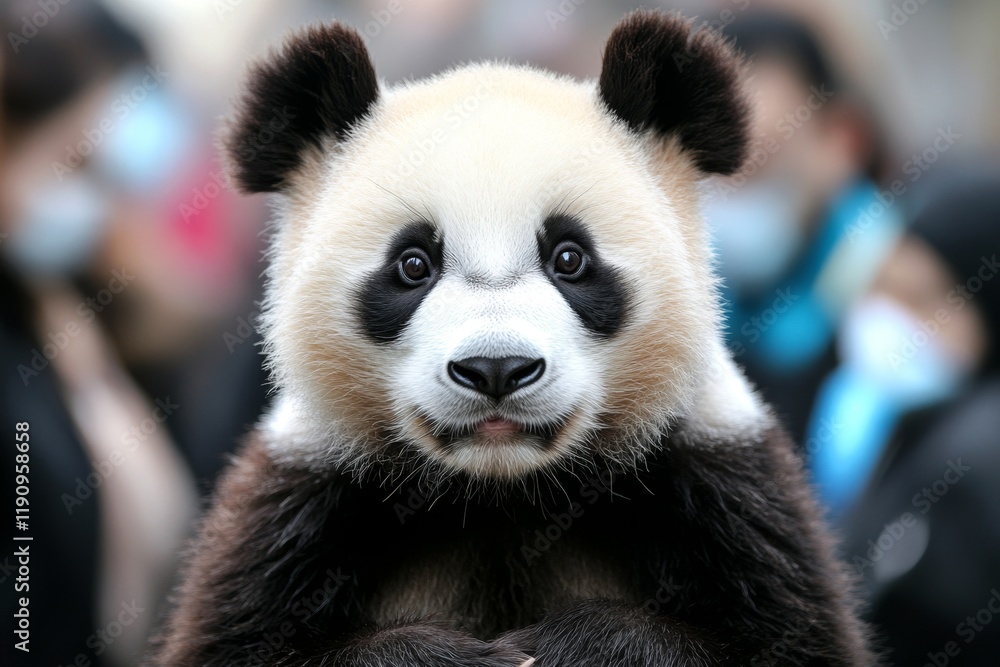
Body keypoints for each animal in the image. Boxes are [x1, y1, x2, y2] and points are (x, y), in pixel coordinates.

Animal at [151, 10, 875, 667]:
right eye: (413, 264)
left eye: (570, 258)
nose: (496, 367)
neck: (503, 494)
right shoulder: (299, 507)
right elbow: (239, 644)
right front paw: (453, 656)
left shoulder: (722, 489)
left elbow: (790, 642)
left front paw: (578, 645)